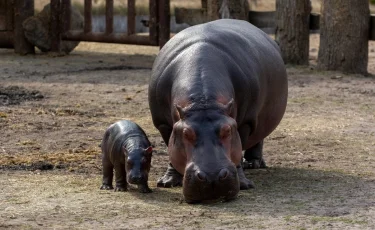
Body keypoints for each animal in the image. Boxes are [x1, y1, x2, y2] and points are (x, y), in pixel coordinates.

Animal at [149, 19, 288, 203]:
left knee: (259, 137)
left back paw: (253, 164)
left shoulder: (245, 122)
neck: (203, 102)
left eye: (227, 130)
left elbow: (239, 149)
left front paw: (244, 184)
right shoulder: (163, 124)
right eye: (186, 133)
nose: (212, 177)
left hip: (260, 117)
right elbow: (170, 148)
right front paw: (167, 182)